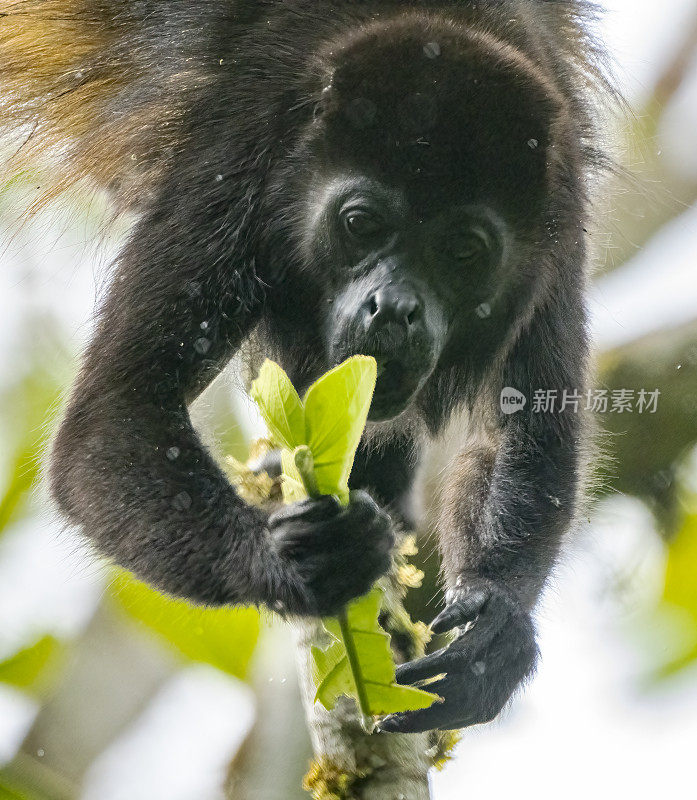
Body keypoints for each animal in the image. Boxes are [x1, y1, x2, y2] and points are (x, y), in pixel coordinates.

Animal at [0, 0, 608, 736]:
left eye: (463, 250)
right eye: (360, 224)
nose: (394, 307)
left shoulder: (559, 205)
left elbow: (525, 435)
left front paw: (495, 628)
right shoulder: (235, 158)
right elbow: (112, 419)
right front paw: (295, 563)